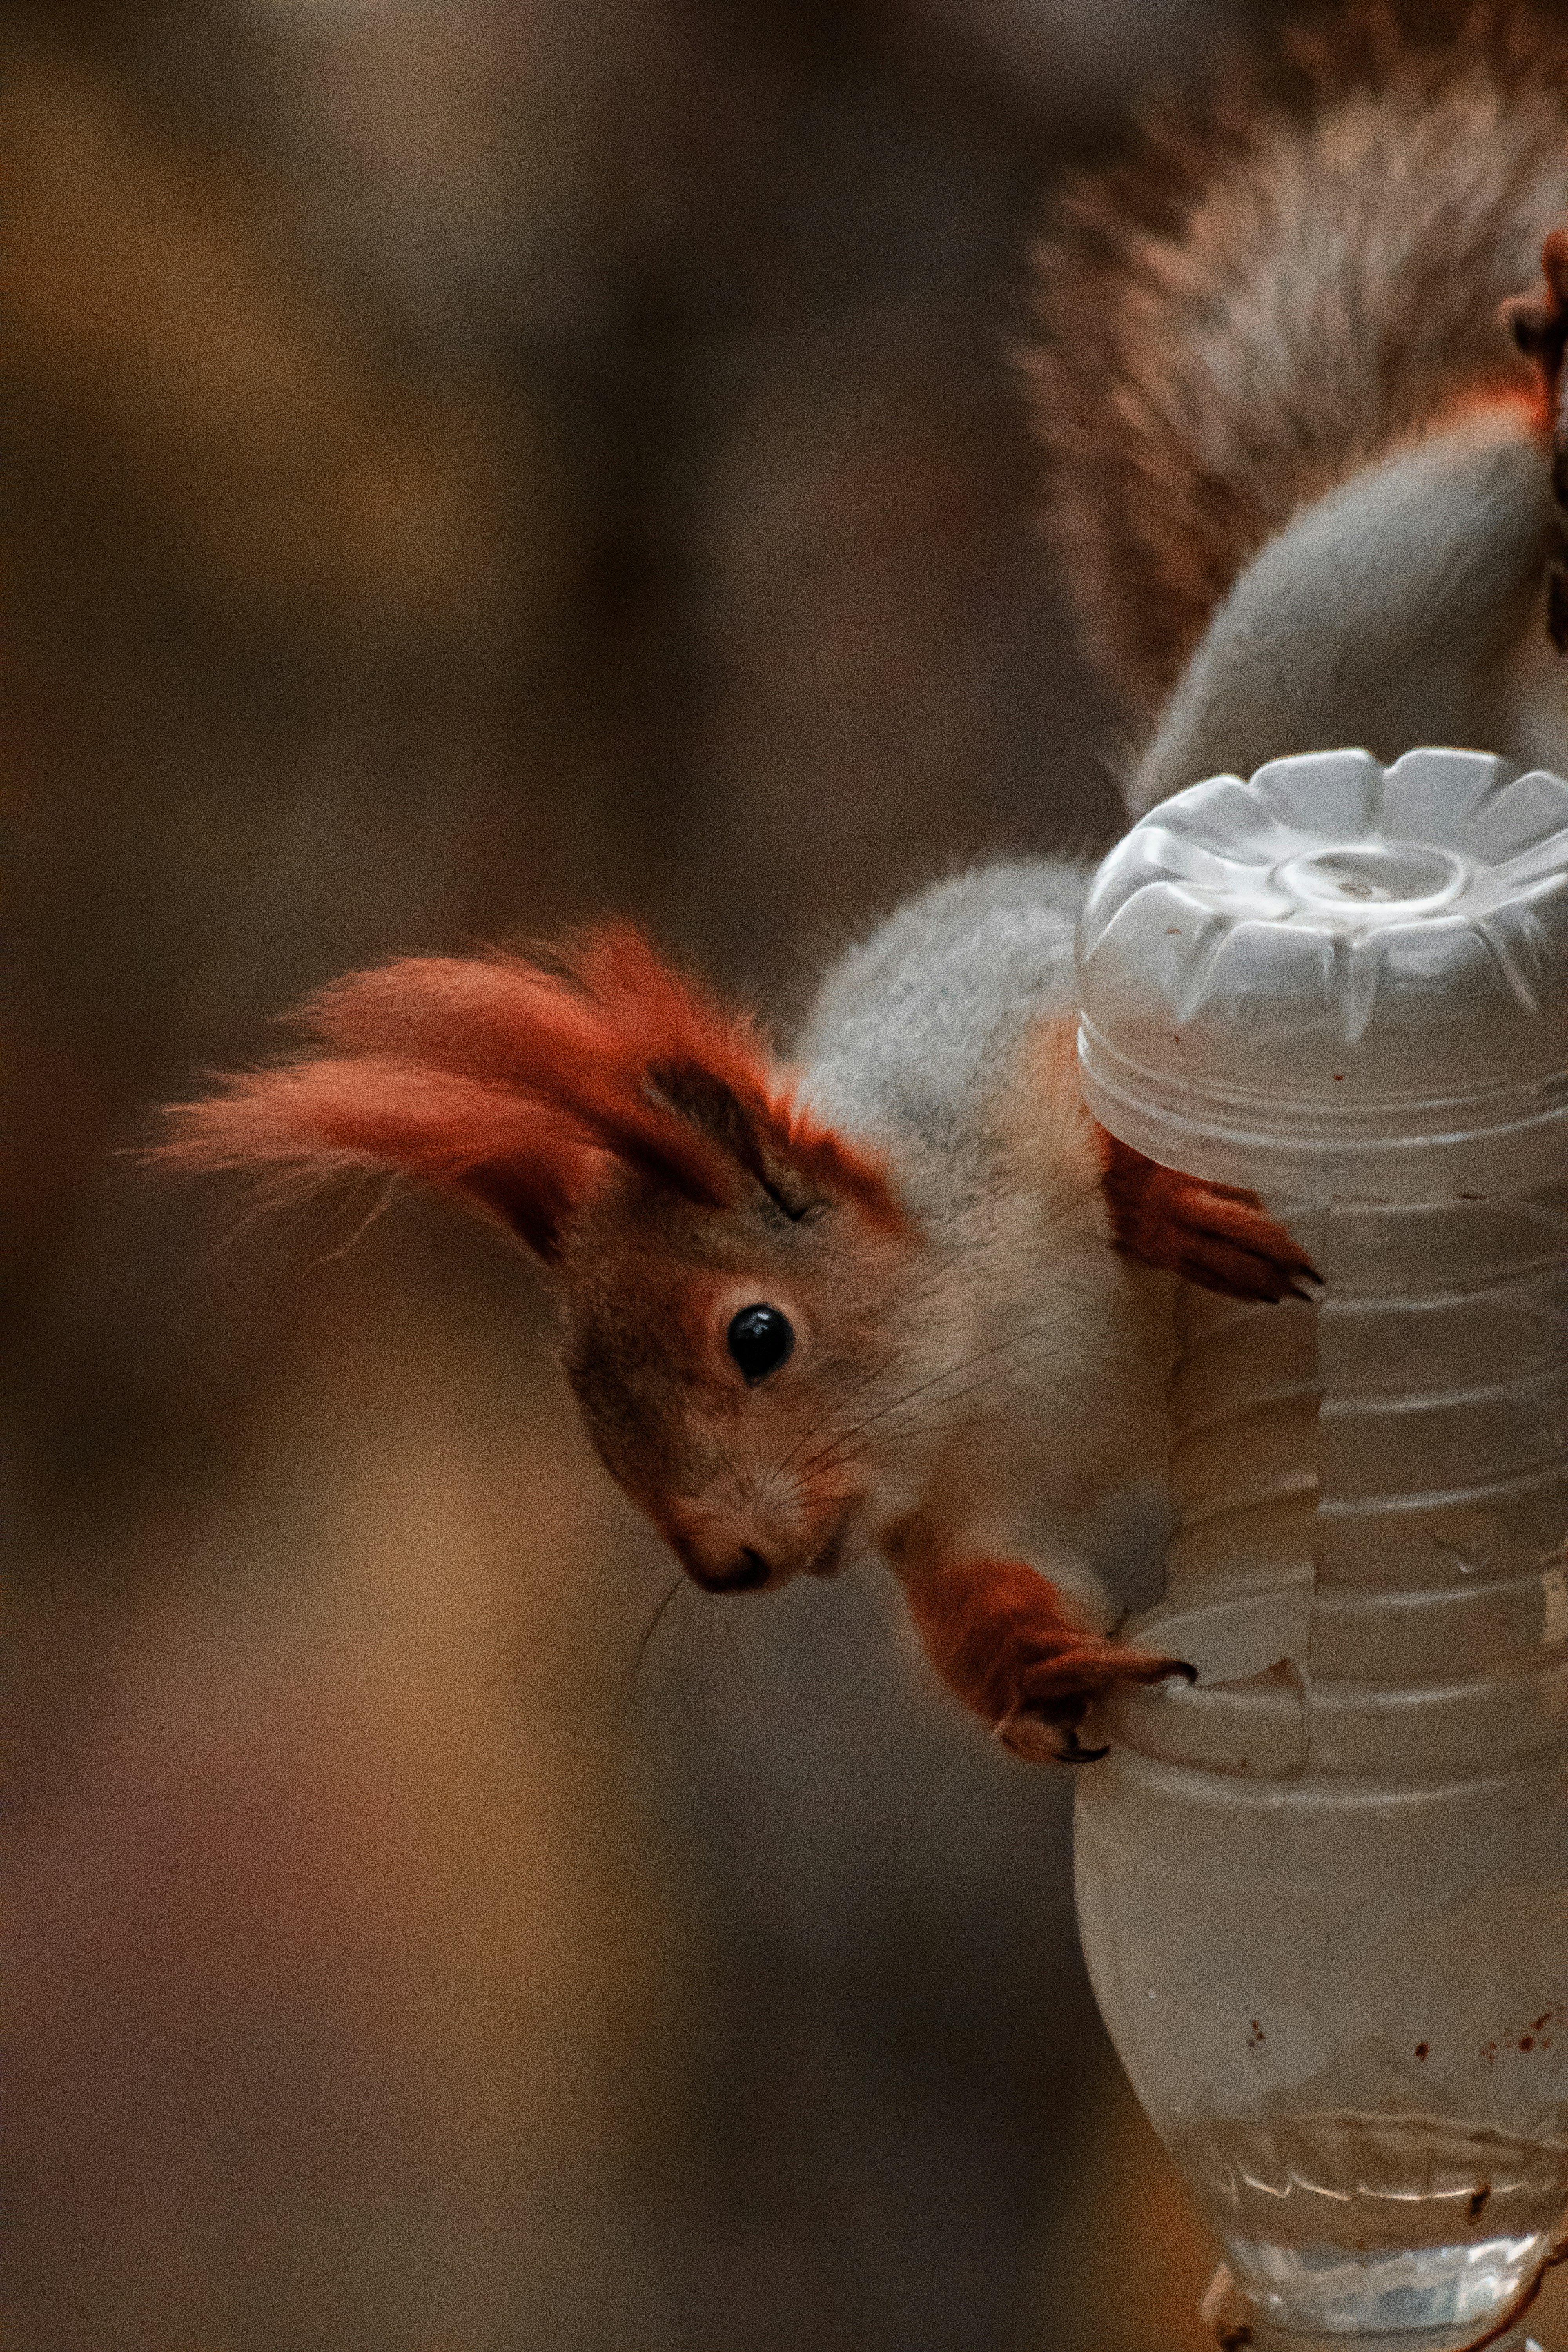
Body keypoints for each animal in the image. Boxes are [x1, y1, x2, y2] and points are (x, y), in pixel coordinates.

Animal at [160, 1, 1567, 1763]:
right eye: (581, 1403)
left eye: (757, 1335)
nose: (731, 1565)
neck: (969, 1341)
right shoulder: (952, 1504)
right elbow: (978, 1598)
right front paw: (1045, 1679)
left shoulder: (1021, 1048)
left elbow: (1109, 1105)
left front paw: (1163, 1196)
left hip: (1334, 611)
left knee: (1464, 465)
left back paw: (1543, 367)